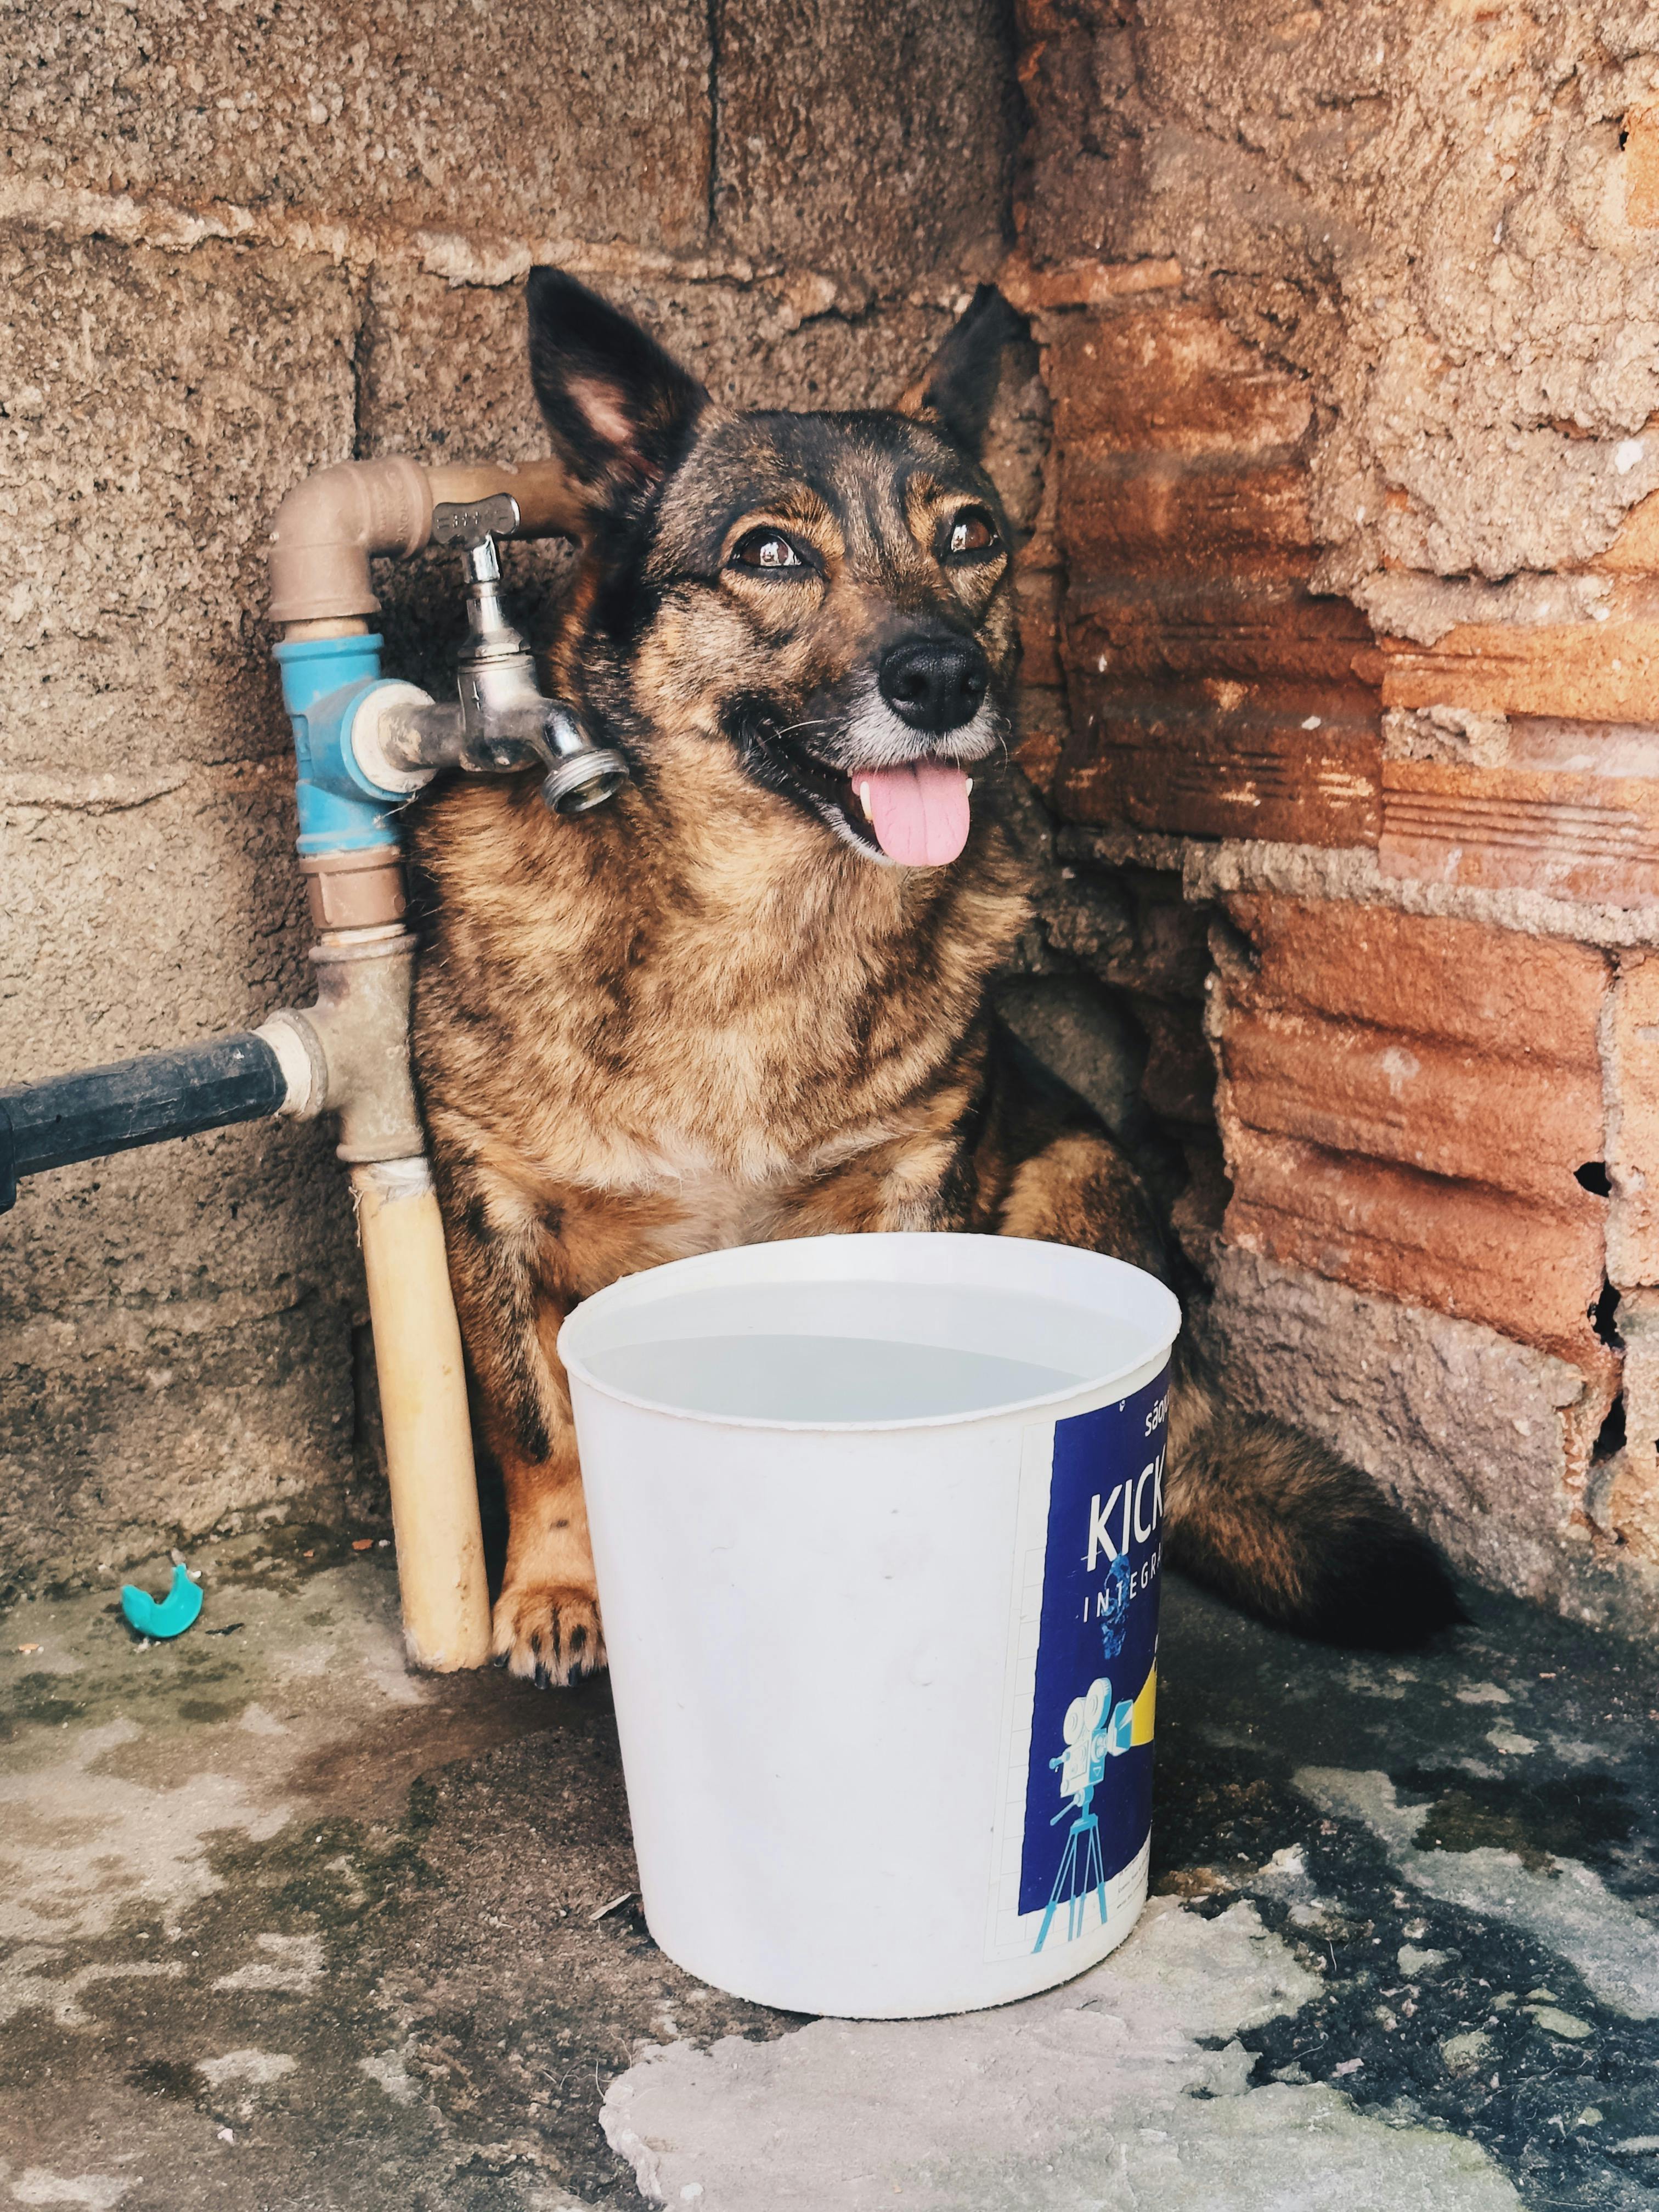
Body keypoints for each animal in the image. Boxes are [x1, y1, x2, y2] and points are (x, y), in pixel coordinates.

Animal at [409, 281, 1460, 1690]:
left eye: (971, 536)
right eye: (769, 554)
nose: (945, 681)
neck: (754, 920)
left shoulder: (919, 1183)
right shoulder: (490, 1215)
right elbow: (541, 1431)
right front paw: (564, 1587)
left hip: (1074, 1179)